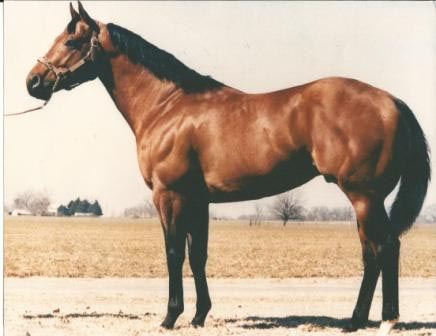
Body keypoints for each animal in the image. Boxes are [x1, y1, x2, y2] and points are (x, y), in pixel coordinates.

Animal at [25, 1, 430, 334]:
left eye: (71, 41)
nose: (33, 81)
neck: (166, 106)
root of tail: (391, 101)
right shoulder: (198, 200)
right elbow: (198, 255)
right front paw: (199, 315)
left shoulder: (168, 196)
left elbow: (174, 253)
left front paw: (170, 316)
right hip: (365, 200)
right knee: (371, 252)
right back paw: (355, 320)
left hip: (364, 196)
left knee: (386, 246)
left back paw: (386, 320)